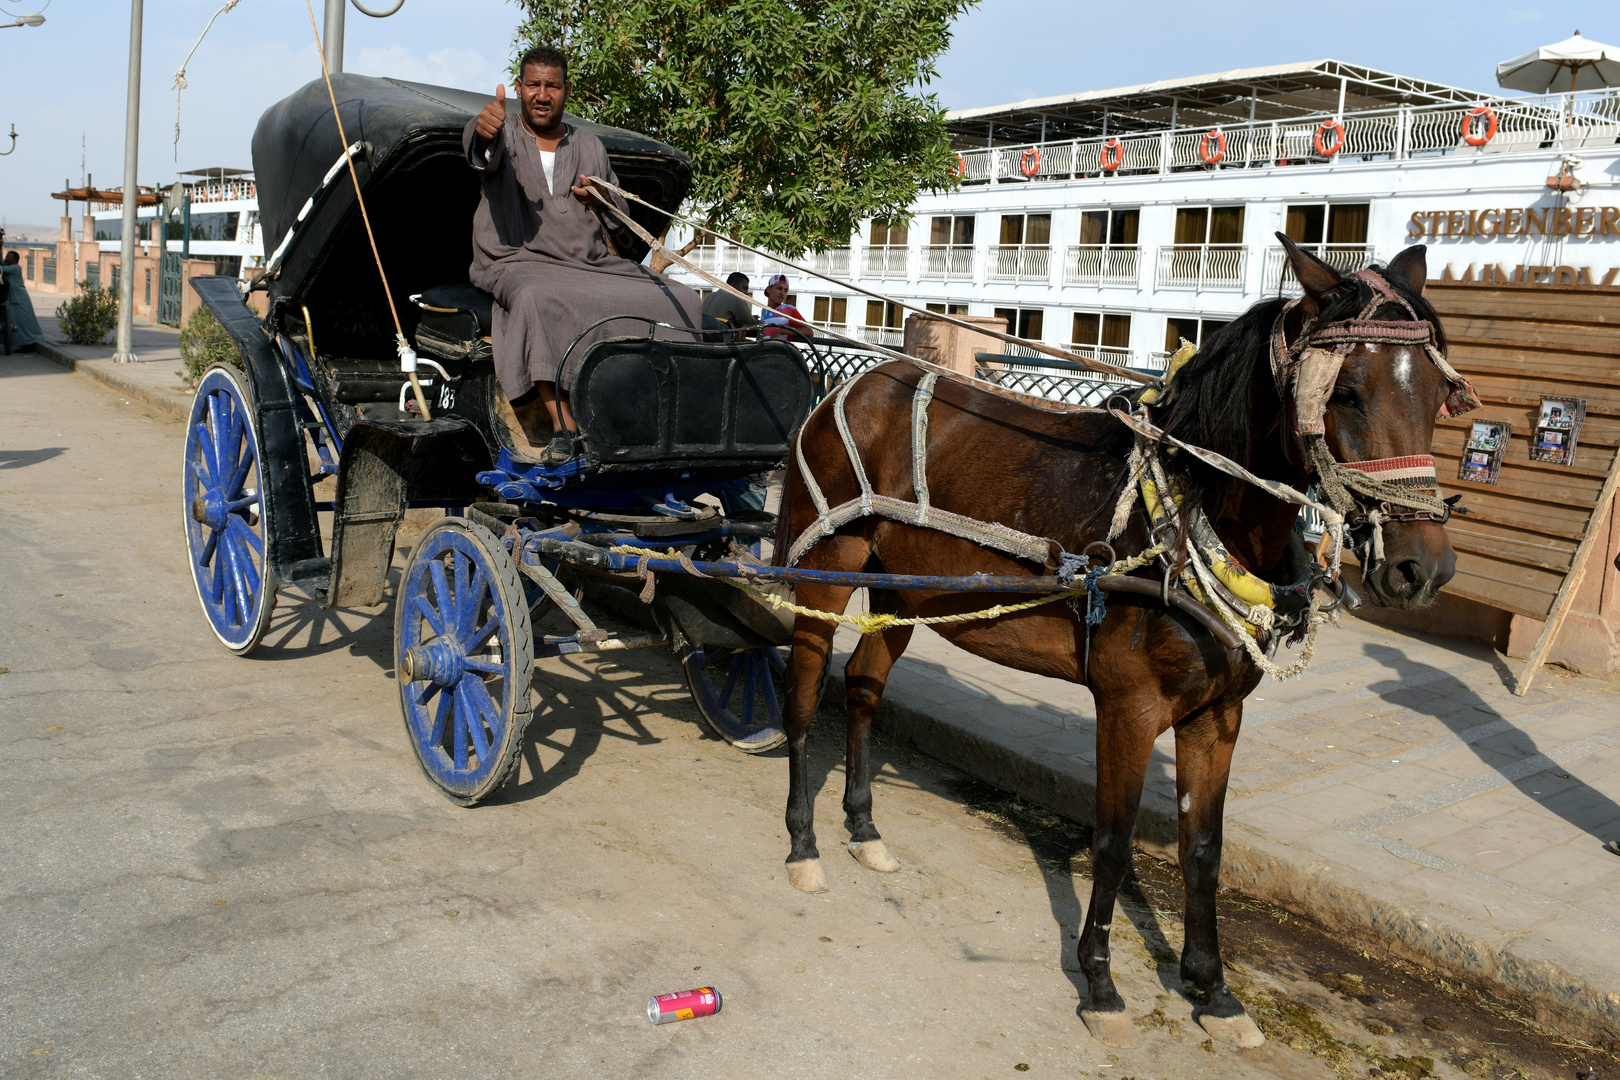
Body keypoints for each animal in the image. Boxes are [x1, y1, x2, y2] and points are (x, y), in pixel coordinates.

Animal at [771, 238, 1470, 1049]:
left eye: (1439, 393)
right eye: (1349, 391)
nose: (1422, 568)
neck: (1191, 510)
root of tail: (857, 386)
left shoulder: (1218, 715)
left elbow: (1204, 848)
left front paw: (1214, 990)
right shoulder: (1128, 706)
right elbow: (1111, 838)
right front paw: (1100, 982)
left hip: (905, 588)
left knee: (863, 686)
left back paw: (862, 825)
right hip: (828, 568)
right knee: (805, 692)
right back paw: (803, 842)